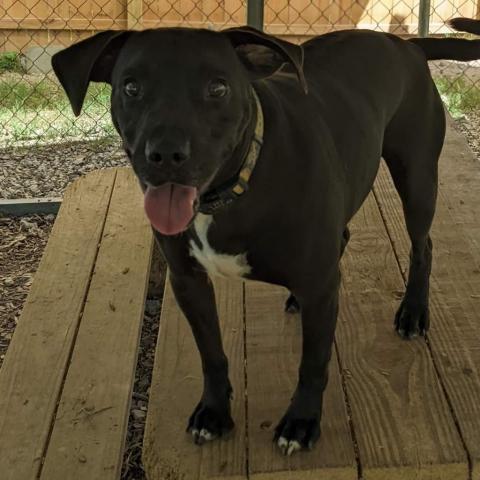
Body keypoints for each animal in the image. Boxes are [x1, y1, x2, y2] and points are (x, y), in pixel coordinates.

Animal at [51, 17, 480, 454]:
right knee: (344, 235)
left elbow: (313, 362)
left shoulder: (321, 285)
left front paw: (301, 422)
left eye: (218, 88)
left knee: (423, 245)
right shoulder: (188, 281)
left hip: (417, 177)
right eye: (131, 87)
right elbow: (211, 352)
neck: (232, 190)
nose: (166, 154)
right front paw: (214, 411)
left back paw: (413, 312)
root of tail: (405, 44)